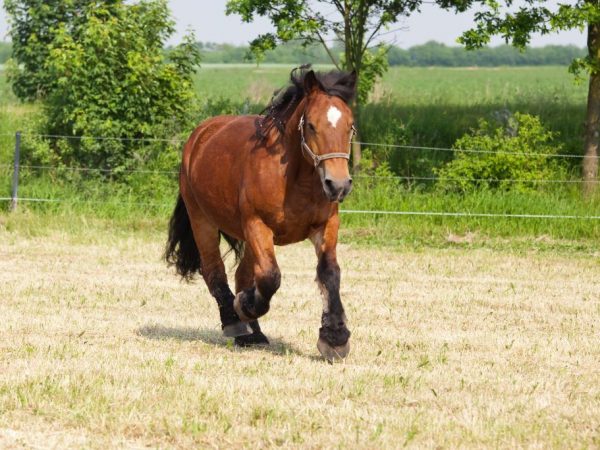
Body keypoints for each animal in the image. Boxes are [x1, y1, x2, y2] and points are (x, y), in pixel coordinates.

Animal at [165, 67, 356, 360]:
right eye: (311, 125)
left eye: (350, 126)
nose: (338, 185)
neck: (294, 179)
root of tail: (199, 136)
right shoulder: (258, 225)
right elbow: (270, 277)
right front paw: (244, 306)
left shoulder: (325, 226)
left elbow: (329, 273)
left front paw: (334, 338)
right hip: (202, 221)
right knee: (215, 271)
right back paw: (234, 321)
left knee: (242, 276)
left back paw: (252, 333)